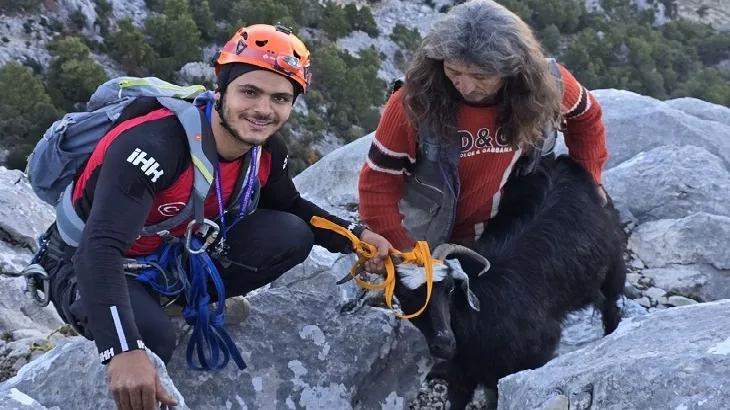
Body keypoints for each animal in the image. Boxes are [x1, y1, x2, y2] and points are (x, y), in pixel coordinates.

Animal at [386, 155, 624, 410]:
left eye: (448, 288)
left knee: (610, 307)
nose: (445, 343)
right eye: (405, 297)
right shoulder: (464, 375)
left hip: (613, 269)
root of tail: (563, 161)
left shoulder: (533, 357)